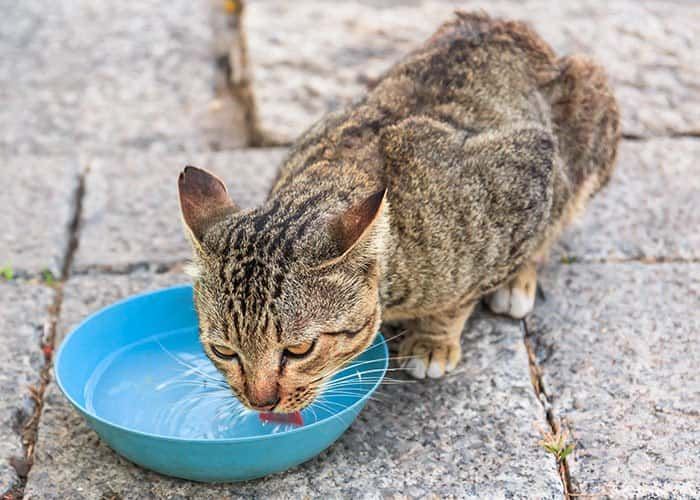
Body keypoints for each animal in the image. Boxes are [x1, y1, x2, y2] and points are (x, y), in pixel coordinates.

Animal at [179, 11, 616, 412]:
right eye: (223, 351)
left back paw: (517, 281)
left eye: (300, 350)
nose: (261, 403)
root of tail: (508, 23)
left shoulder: (527, 171)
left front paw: (433, 339)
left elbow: (460, 296)